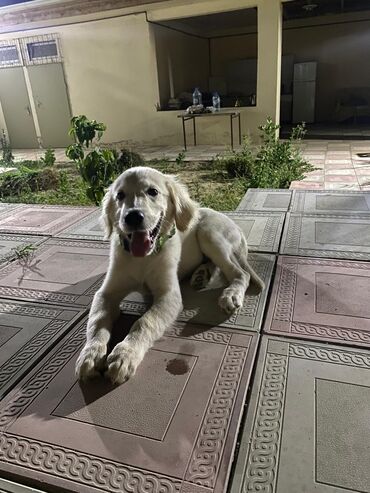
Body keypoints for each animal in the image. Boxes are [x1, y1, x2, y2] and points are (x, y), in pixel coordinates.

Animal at [76, 167, 264, 382]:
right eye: (120, 195)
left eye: (152, 192)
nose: (133, 217)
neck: (143, 259)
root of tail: (236, 226)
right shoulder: (106, 293)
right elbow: (97, 321)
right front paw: (91, 353)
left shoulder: (169, 296)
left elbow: (144, 322)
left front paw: (125, 354)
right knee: (218, 266)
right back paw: (201, 274)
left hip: (209, 233)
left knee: (240, 273)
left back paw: (231, 294)